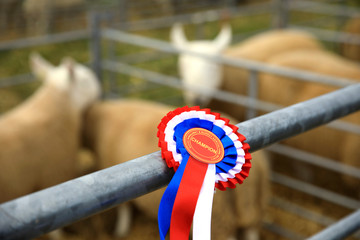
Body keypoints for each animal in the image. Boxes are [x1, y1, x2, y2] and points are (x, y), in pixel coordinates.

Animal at [81, 98, 270, 239]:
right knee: (251, 229)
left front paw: (121, 230)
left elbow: (123, 208)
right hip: (253, 206)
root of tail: (256, 172)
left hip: (216, 216)